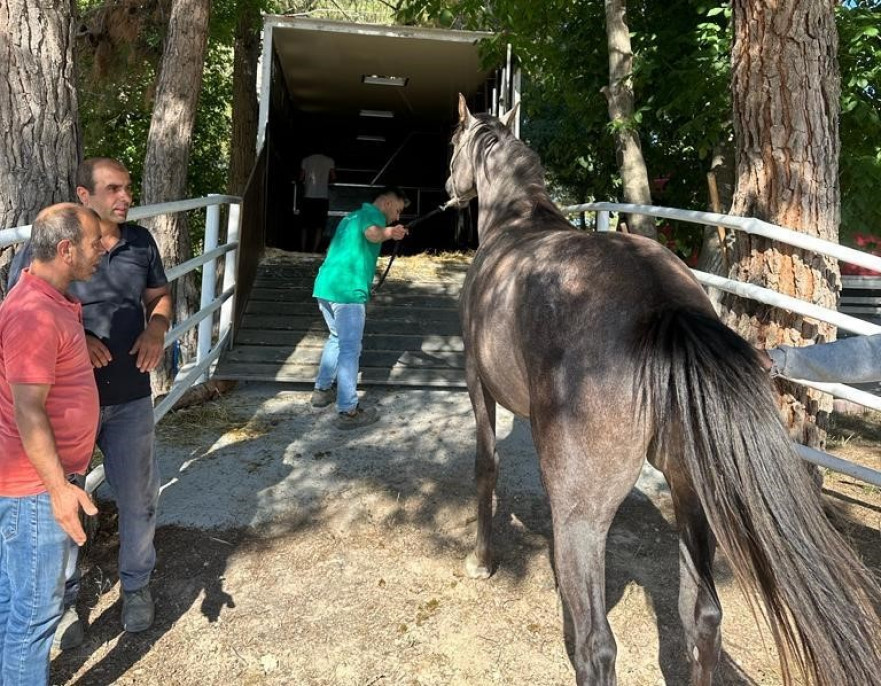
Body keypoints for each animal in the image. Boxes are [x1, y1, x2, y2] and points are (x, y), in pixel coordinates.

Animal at [446, 95, 880, 686]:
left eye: (451, 143)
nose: (449, 186)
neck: (517, 220)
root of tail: (665, 307)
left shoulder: (476, 380)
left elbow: (485, 466)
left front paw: (482, 561)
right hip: (691, 488)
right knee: (703, 616)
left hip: (587, 510)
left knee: (596, 647)